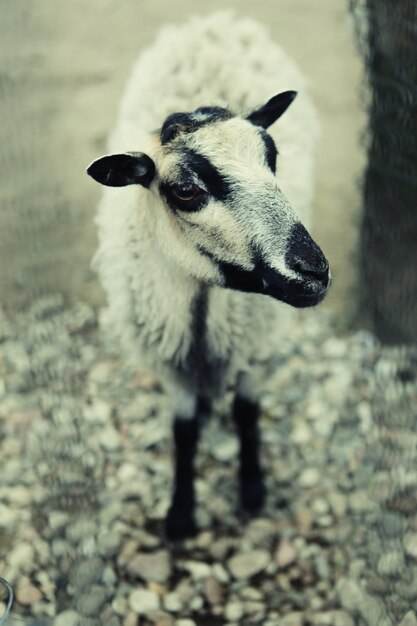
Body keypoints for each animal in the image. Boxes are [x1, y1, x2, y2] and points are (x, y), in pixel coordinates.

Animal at [87, 12, 328, 540]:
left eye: (273, 158)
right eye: (185, 190)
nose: (315, 272)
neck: (200, 299)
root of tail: (218, 18)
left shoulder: (253, 342)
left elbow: (247, 411)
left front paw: (253, 490)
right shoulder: (169, 357)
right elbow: (183, 430)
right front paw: (179, 515)